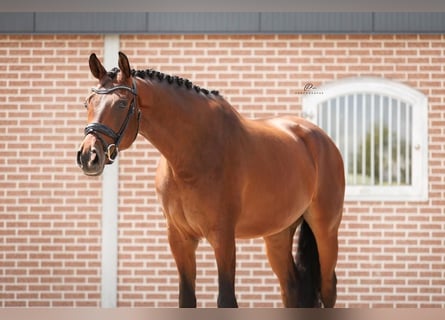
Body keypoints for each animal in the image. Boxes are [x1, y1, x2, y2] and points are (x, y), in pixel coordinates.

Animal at [76, 52, 346, 308]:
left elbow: (226, 300)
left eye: (122, 103)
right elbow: (186, 298)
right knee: (291, 288)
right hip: (278, 234)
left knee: (328, 287)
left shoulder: (222, 236)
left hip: (325, 229)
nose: (88, 156)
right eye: (88, 102)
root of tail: (318, 137)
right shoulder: (180, 238)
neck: (191, 155)